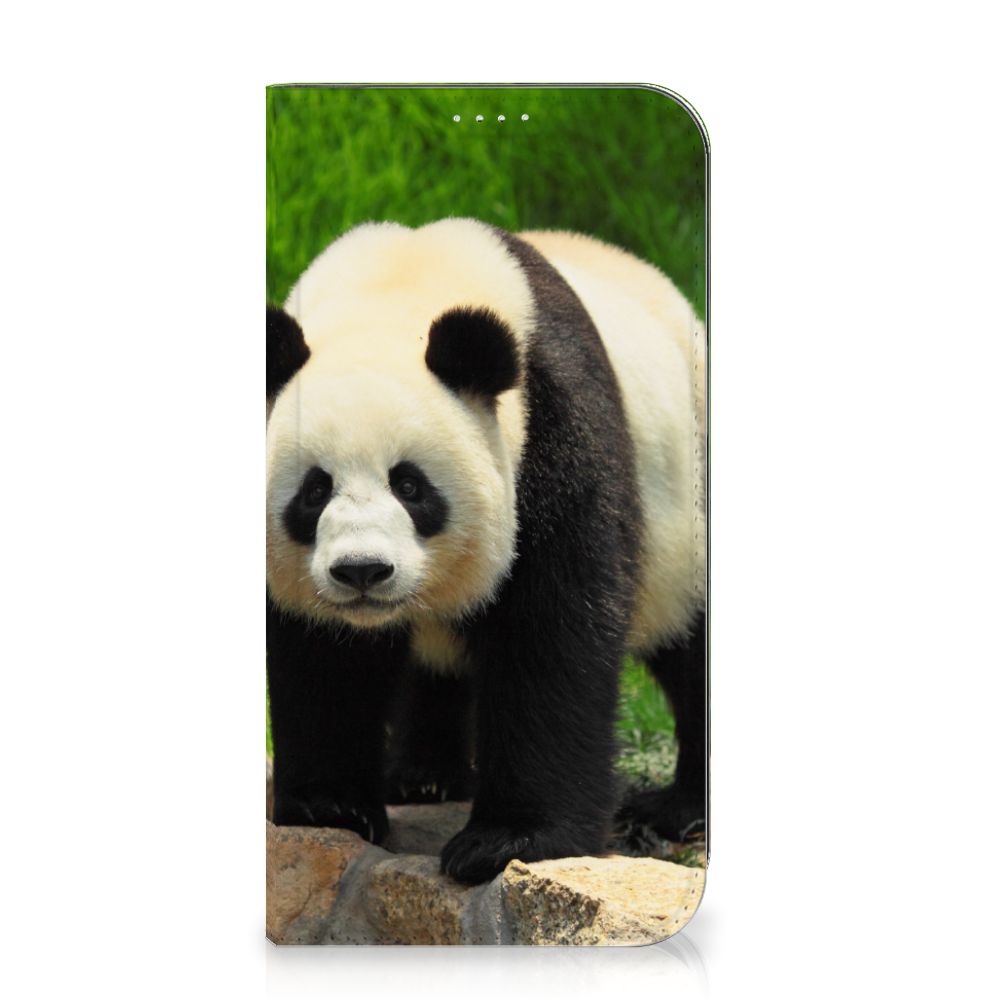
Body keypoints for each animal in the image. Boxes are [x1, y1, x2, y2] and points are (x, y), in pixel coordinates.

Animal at [266, 218, 706, 885]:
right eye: (315, 491)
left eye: (410, 485)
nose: (363, 571)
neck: (397, 289)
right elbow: (321, 654)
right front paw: (330, 805)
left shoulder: (554, 429)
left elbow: (551, 633)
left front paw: (507, 841)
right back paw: (424, 776)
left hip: (689, 510)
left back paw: (678, 809)